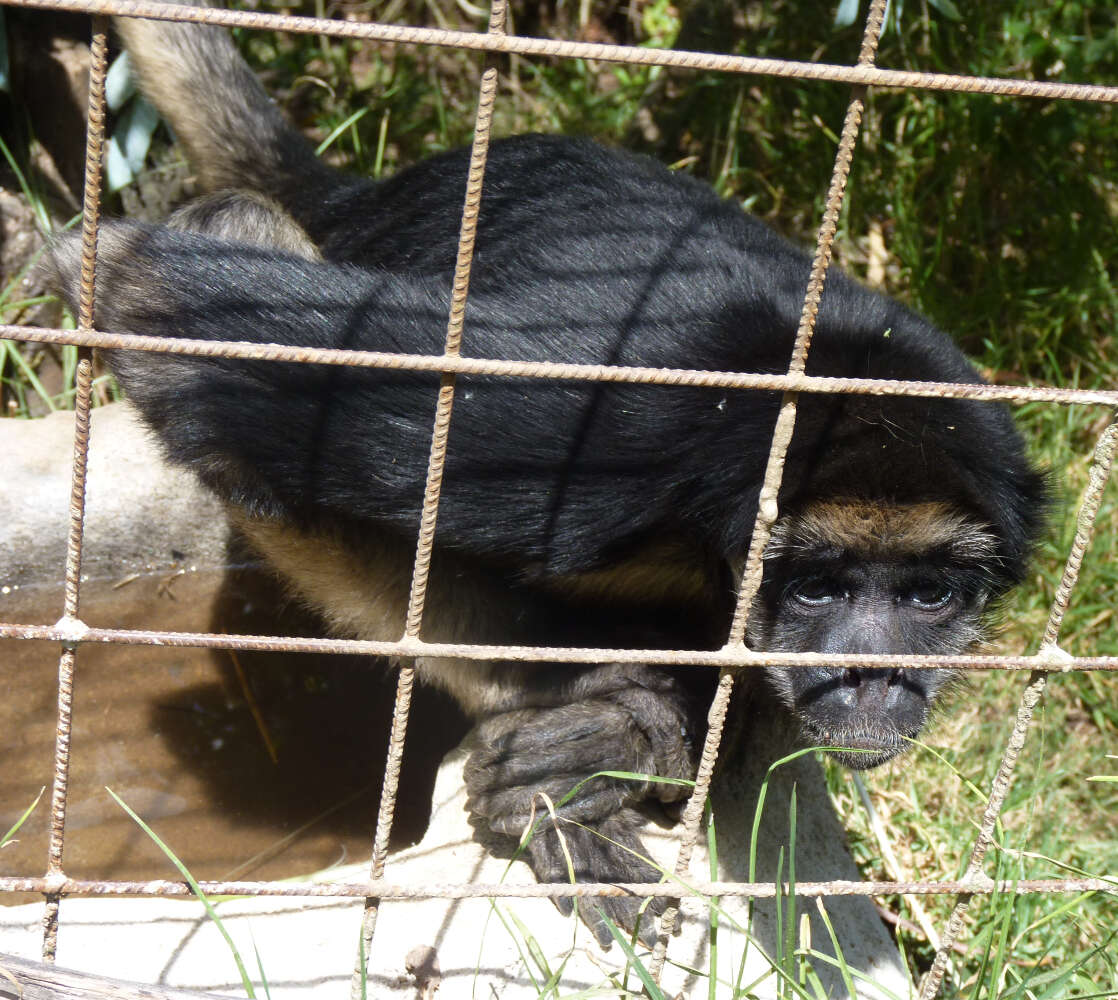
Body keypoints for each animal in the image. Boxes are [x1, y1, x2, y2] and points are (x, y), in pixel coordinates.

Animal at [50, 9, 1046, 957]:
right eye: (819, 590)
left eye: (928, 597)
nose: (874, 676)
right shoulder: (622, 426)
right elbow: (145, 303)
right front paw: (604, 728)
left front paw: (637, 735)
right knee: (230, 233)